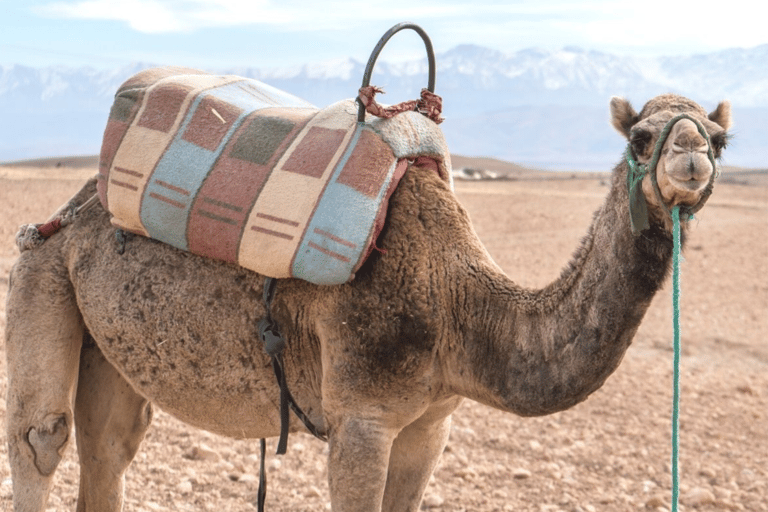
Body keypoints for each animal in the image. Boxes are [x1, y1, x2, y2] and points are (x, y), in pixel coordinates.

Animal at [6, 90, 732, 510]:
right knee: (43, 436)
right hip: (41, 270)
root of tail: (71, 209)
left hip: (111, 344)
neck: (459, 304)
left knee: (111, 447)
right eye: (640, 137)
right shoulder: (361, 415)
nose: (691, 157)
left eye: (722, 140)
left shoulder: (430, 424)